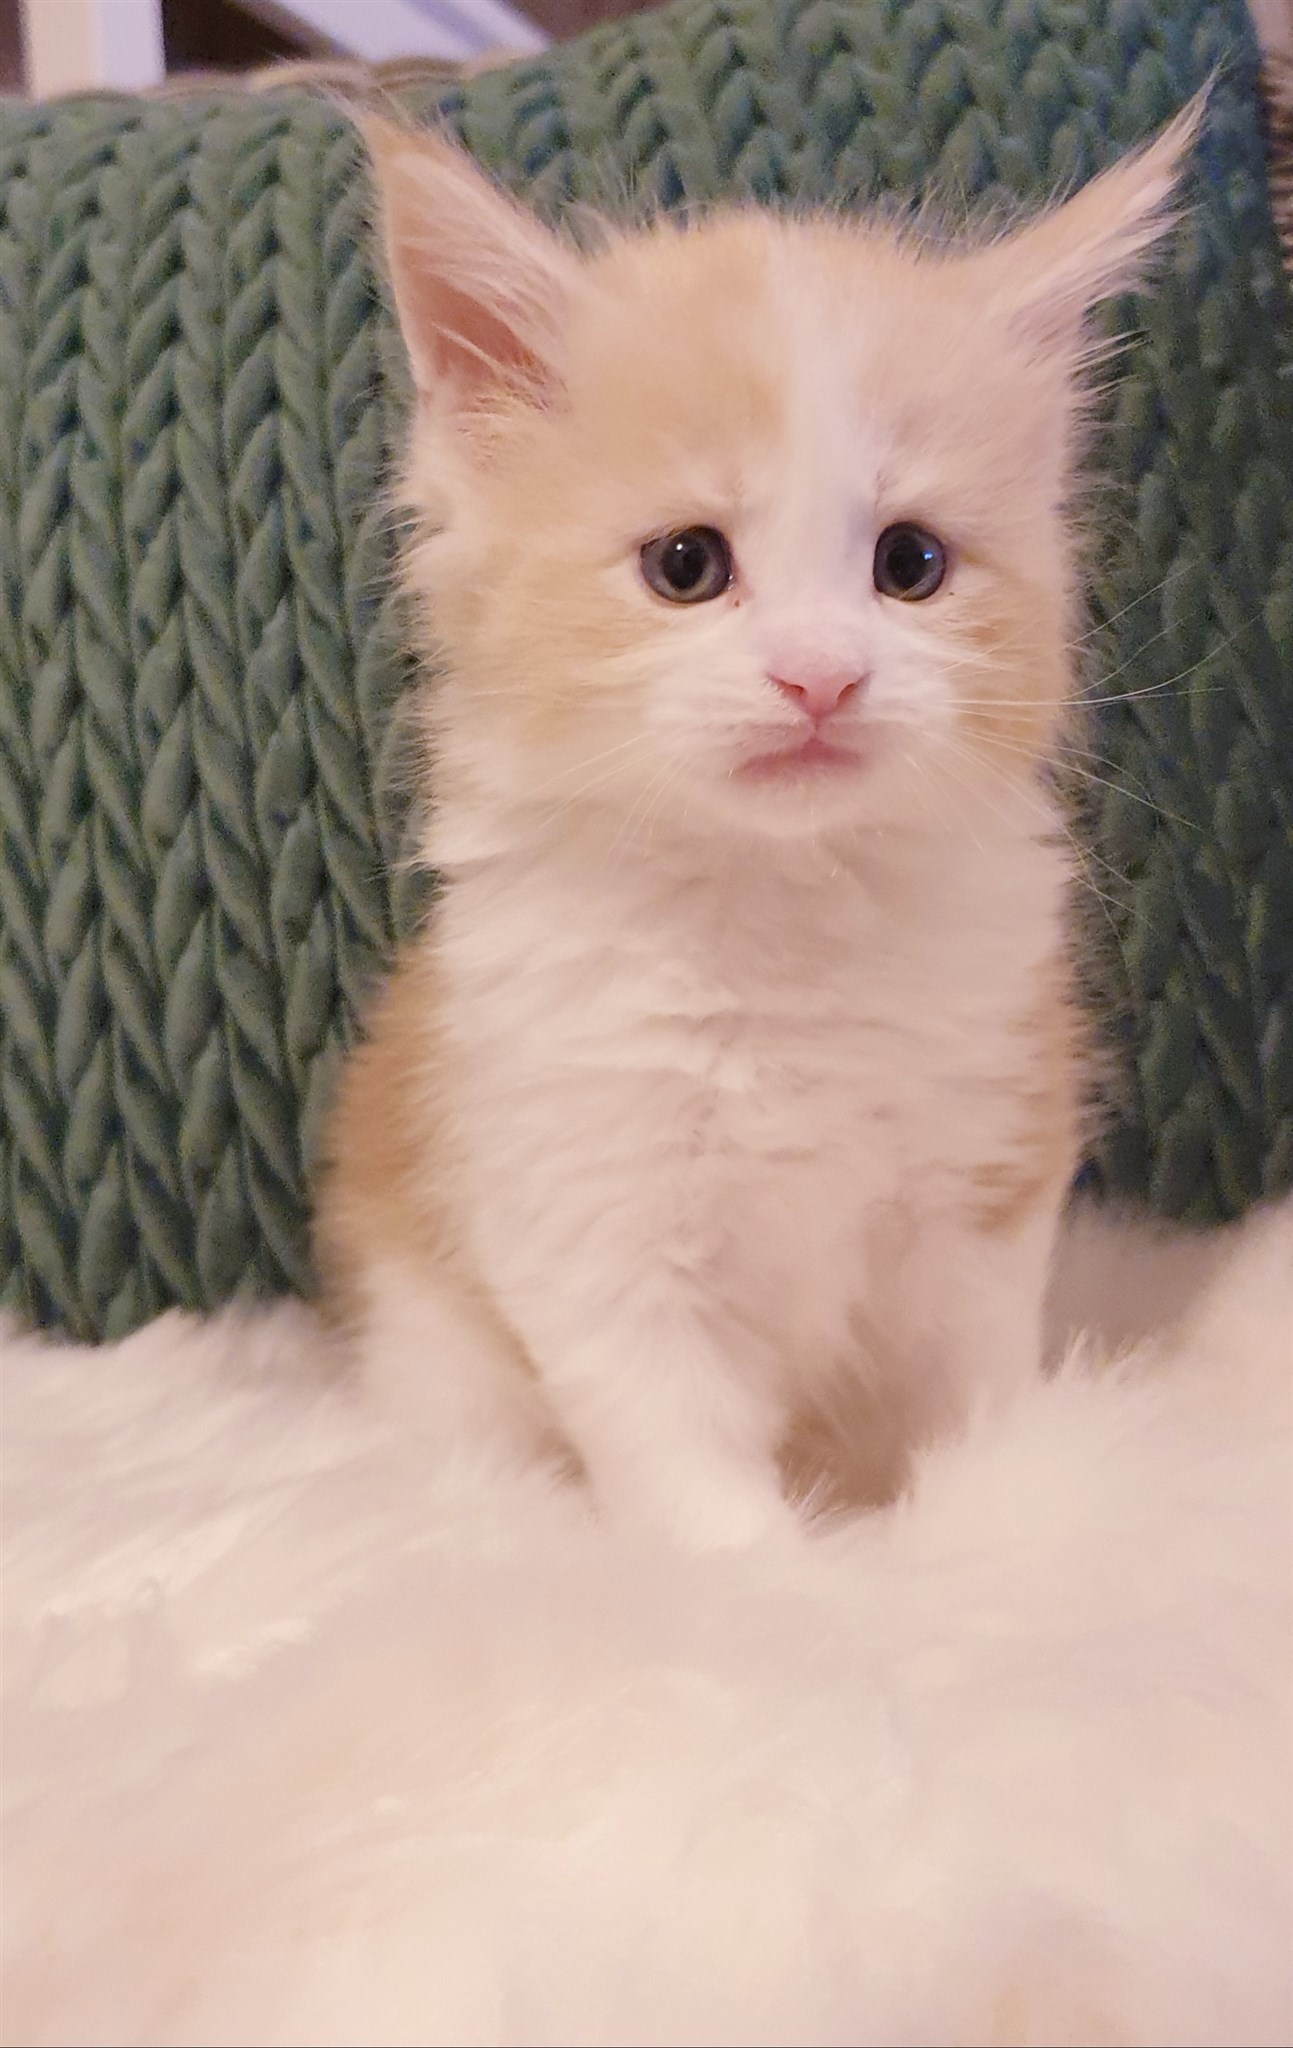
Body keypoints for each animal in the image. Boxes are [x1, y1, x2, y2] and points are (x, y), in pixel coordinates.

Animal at [315, 104, 1197, 1547]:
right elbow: (688, 1480)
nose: (819, 677)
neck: (780, 918)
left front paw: (993, 1502)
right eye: (686, 564)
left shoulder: (984, 1181)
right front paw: (781, 1581)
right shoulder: (584, 1211)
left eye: (911, 564)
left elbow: (971, 1394)